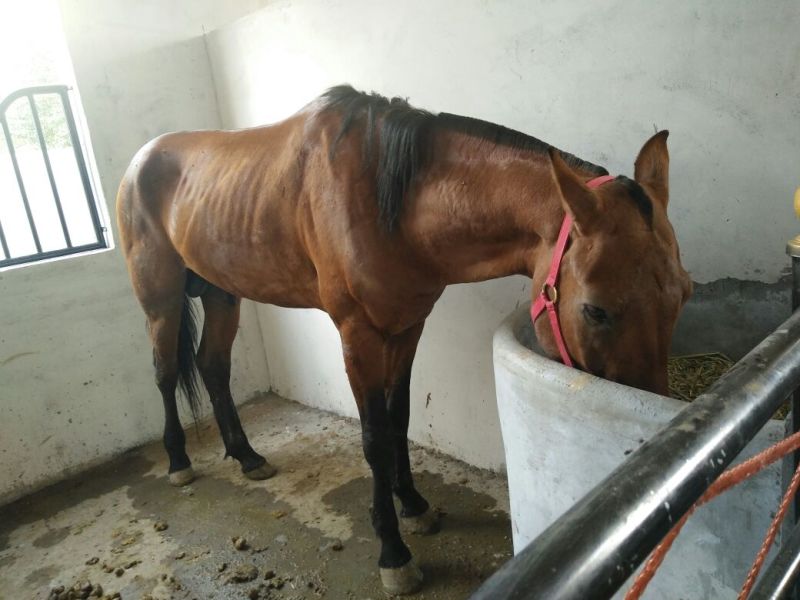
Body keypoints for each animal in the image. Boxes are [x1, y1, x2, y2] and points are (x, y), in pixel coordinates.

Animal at [116, 85, 692, 595]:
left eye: (683, 293)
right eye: (595, 309)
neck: (390, 199)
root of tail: (138, 161)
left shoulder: (408, 326)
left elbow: (400, 418)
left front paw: (413, 505)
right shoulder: (358, 334)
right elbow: (374, 436)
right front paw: (394, 552)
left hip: (222, 294)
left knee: (213, 366)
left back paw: (246, 455)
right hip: (160, 299)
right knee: (165, 371)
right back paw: (179, 463)